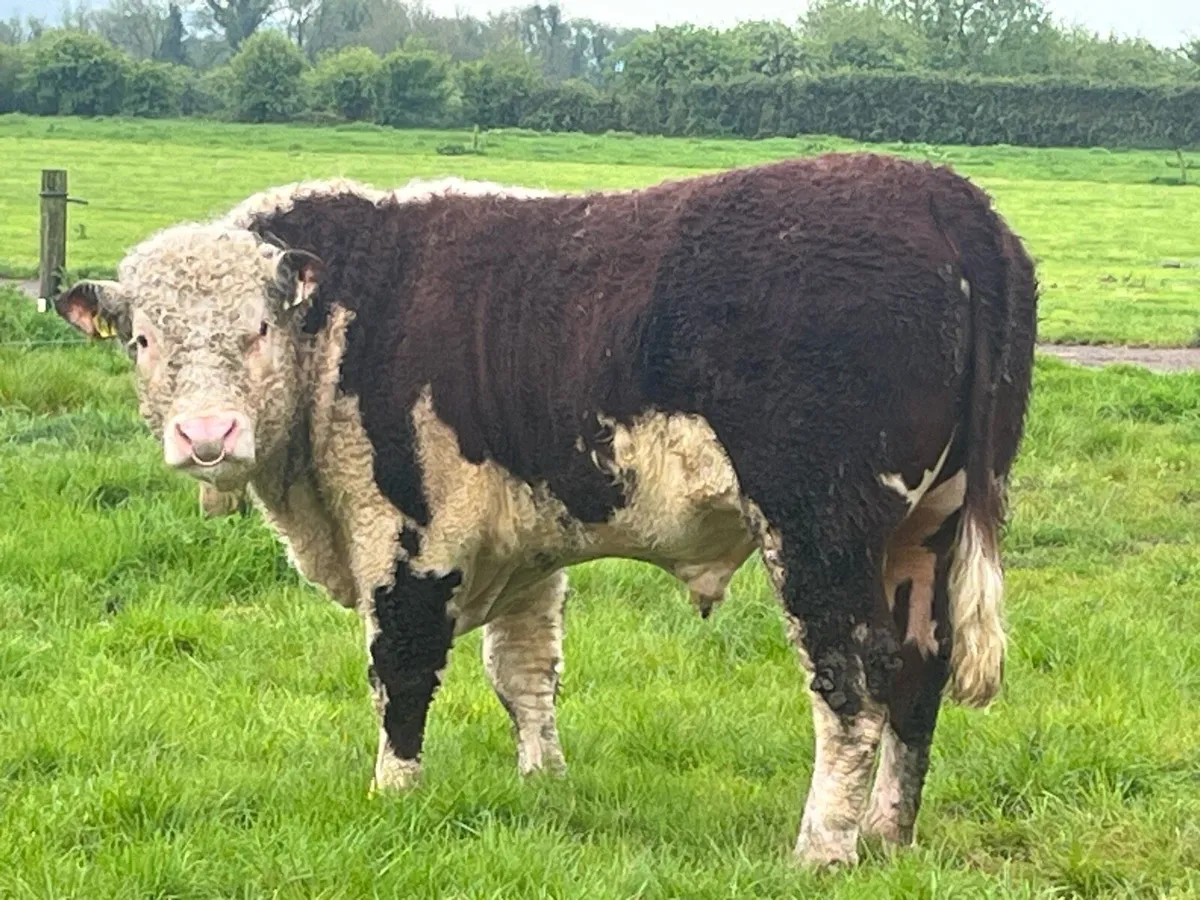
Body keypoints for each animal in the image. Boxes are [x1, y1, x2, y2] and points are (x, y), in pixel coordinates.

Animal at [55, 154, 1037, 866]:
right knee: (919, 670)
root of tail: (944, 193)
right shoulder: (524, 545)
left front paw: (393, 795)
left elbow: (399, 670)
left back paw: (822, 849)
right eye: (142, 339)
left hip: (820, 527)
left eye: (256, 330)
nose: (206, 435)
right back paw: (887, 834)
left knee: (853, 681)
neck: (353, 315)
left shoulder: (410, 537)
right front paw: (543, 783)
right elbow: (525, 673)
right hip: (925, 528)